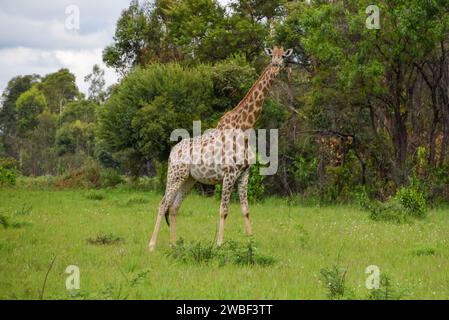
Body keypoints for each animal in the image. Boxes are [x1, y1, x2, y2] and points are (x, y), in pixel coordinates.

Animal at [148, 46, 294, 251]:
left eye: (283, 56)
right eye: (271, 55)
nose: (275, 66)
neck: (244, 127)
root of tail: (172, 151)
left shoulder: (243, 175)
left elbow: (245, 209)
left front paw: (251, 242)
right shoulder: (229, 174)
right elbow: (224, 210)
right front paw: (219, 244)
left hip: (189, 179)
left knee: (175, 207)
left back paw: (174, 244)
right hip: (175, 175)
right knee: (163, 204)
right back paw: (152, 245)